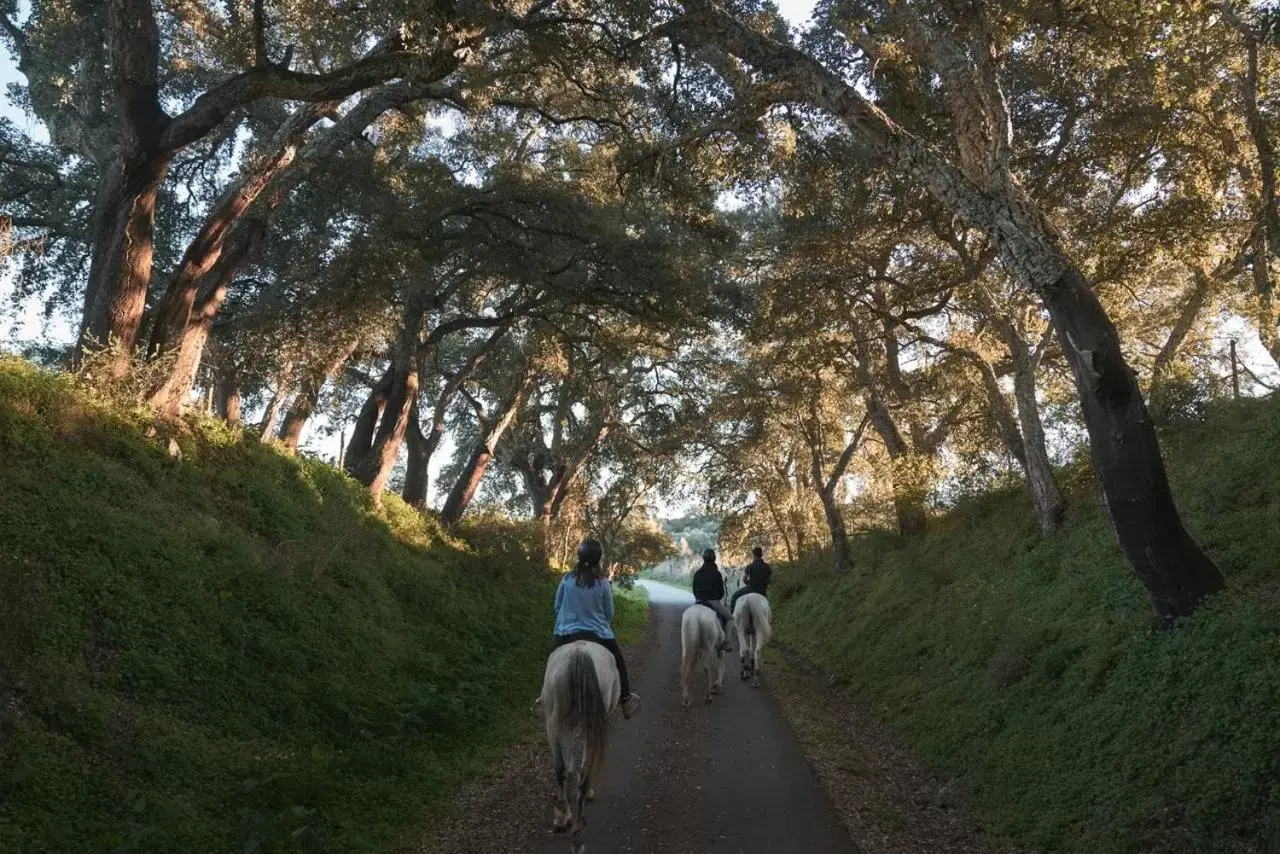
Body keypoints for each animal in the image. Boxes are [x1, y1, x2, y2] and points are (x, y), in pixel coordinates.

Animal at [540, 645, 619, 850]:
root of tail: (579, 653)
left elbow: (568, 763)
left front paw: (566, 812)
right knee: (582, 772)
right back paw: (575, 829)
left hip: (555, 722)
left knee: (562, 768)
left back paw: (564, 821)